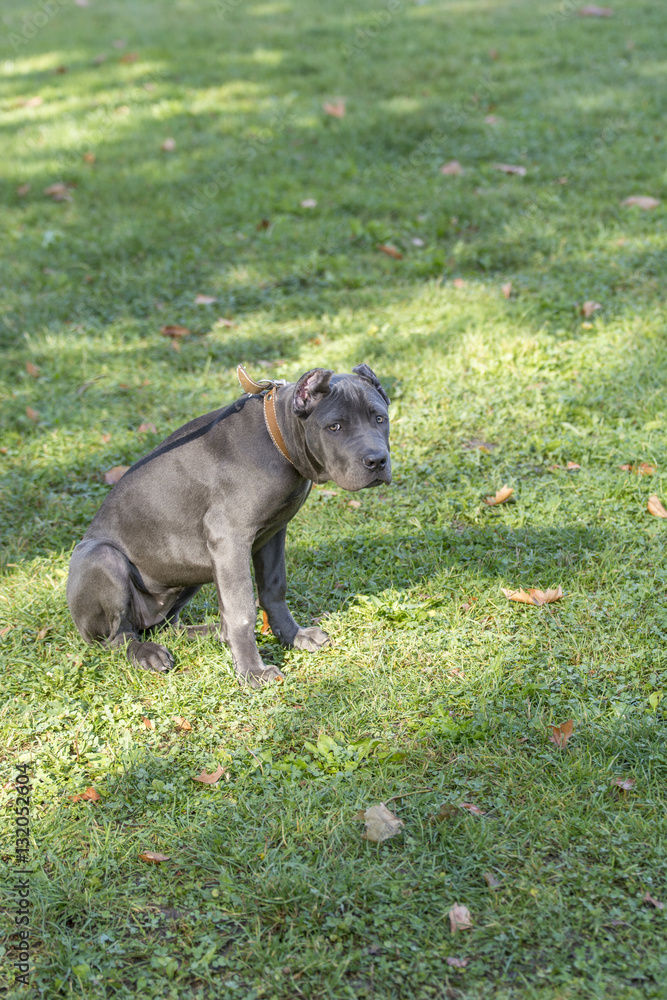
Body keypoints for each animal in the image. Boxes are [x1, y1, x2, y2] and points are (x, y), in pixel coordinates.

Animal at [66, 366, 392, 688]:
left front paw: (294, 636)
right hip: (101, 557)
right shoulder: (230, 539)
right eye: (334, 427)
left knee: (166, 625)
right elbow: (241, 610)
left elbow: (274, 589)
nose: (377, 461)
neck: (277, 439)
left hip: (187, 568)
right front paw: (252, 671)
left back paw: (213, 632)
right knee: (119, 637)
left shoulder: (273, 533)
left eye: (380, 418)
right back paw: (147, 653)